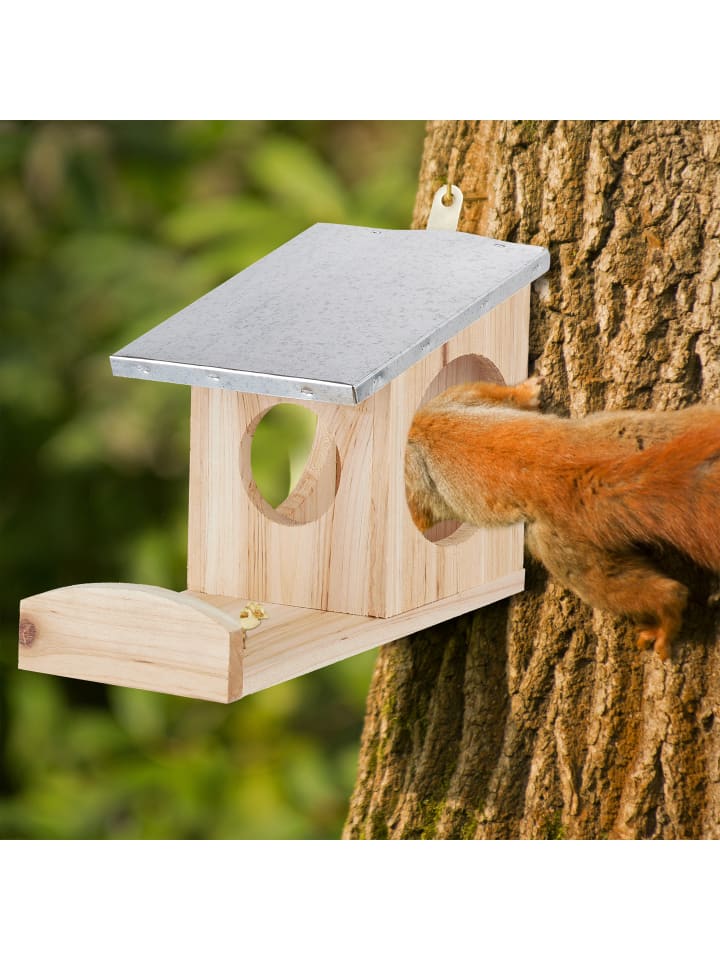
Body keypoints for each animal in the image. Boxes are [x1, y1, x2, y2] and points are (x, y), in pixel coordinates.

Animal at [405, 375, 720, 660]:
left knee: (654, 593)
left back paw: (665, 624)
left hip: (560, 549)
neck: (417, 431)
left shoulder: (440, 412)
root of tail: (584, 474)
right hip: (643, 432)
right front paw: (529, 391)